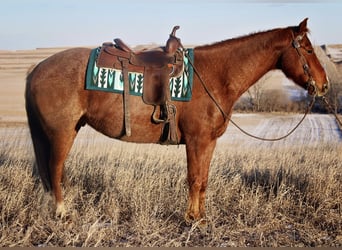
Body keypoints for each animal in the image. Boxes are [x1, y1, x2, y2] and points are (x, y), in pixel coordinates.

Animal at [24, 18, 328, 222]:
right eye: (308, 50)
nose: (324, 85)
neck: (216, 75)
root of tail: (37, 69)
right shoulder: (196, 141)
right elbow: (193, 179)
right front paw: (191, 219)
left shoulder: (208, 143)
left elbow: (203, 180)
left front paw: (201, 217)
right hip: (62, 133)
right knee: (54, 170)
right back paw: (62, 212)